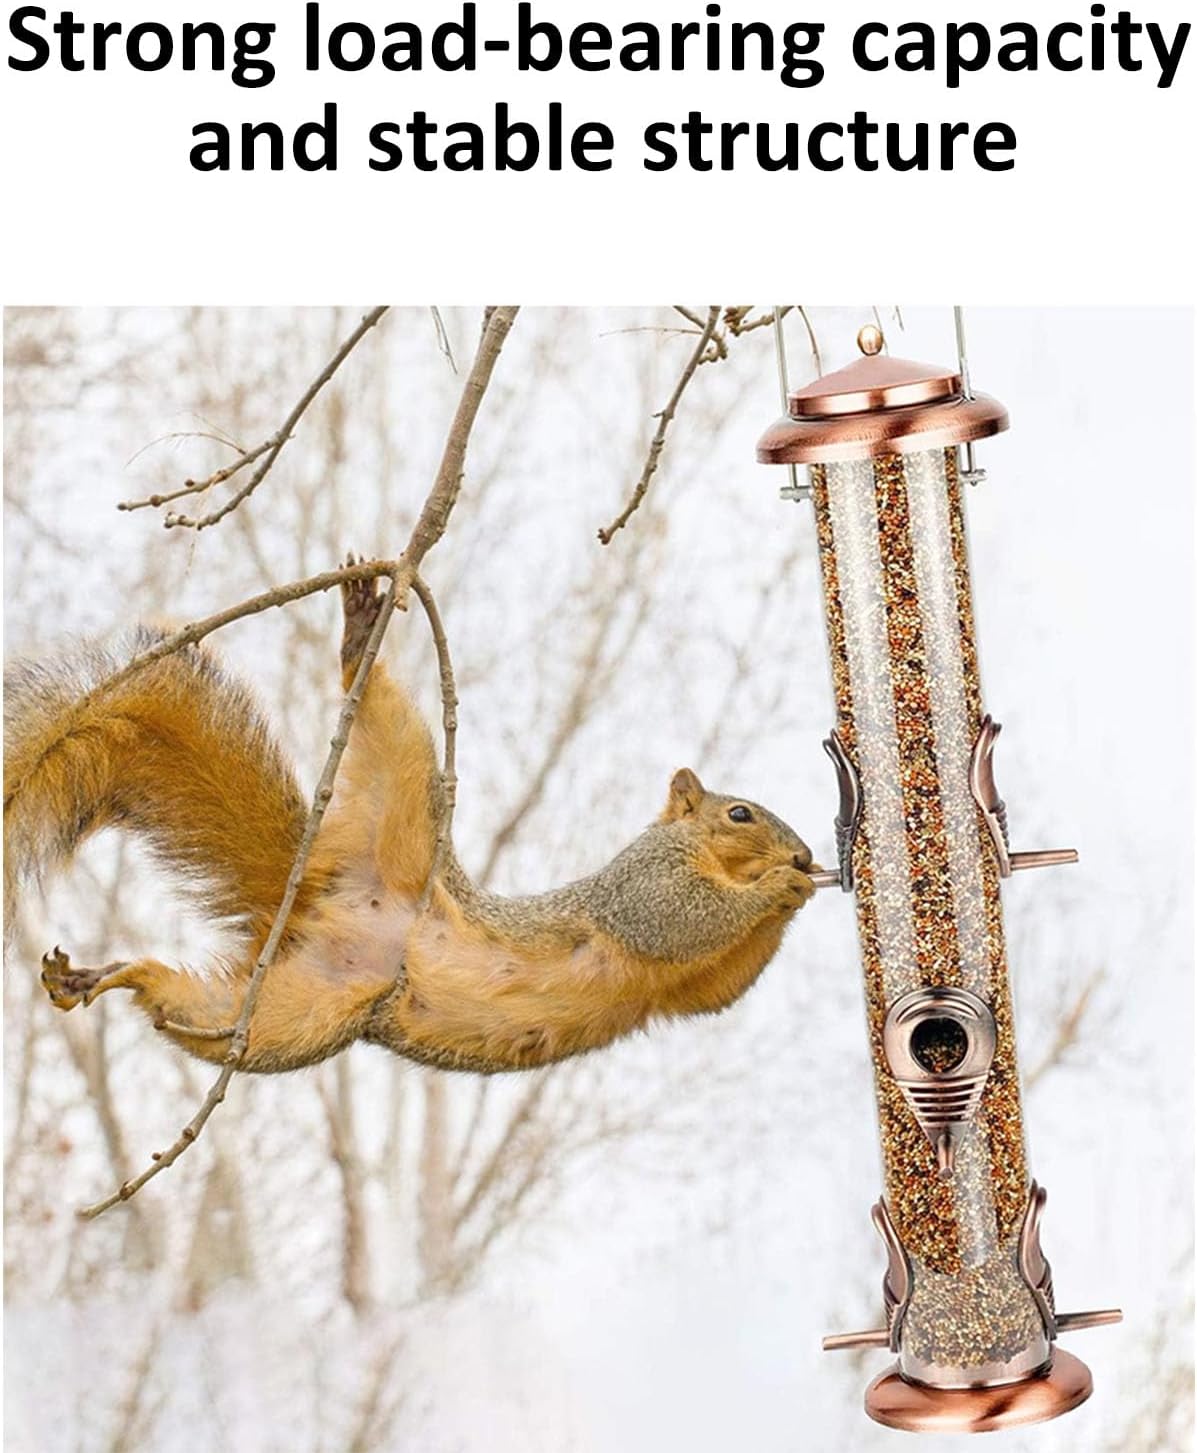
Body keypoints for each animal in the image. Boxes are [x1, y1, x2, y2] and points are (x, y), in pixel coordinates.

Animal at [3, 571, 819, 1075]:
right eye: (739, 813)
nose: (805, 852)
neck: (697, 849)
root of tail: (315, 900)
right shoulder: (640, 884)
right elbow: (677, 919)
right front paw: (780, 886)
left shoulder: (684, 990)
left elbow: (720, 983)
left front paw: (801, 887)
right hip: (403, 795)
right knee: (383, 720)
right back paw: (358, 636)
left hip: (293, 1016)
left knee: (192, 1010)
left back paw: (105, 975)